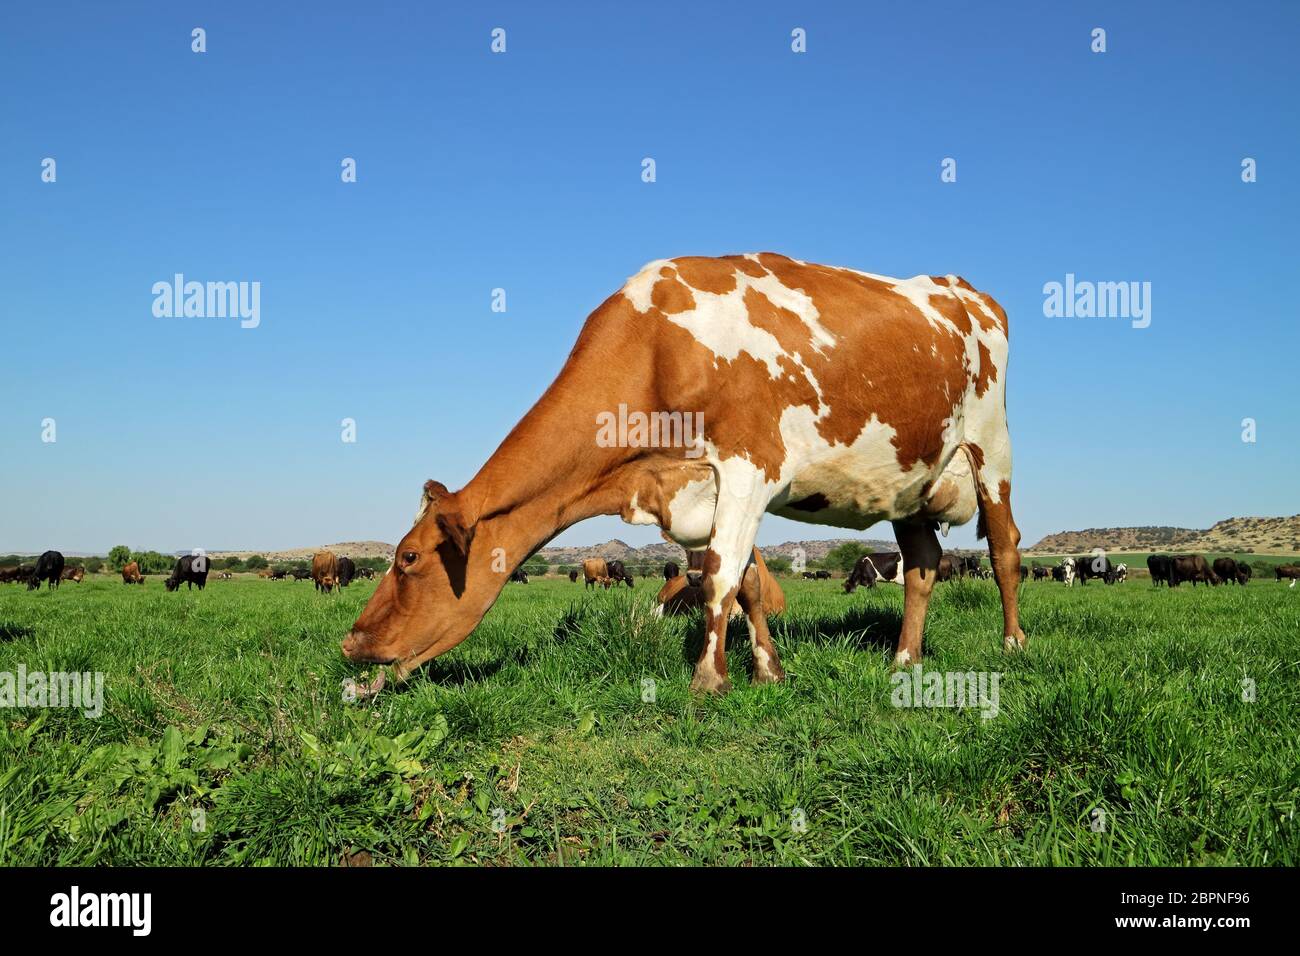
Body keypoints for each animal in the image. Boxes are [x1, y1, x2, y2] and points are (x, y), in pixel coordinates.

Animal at [342, 256, 1024, 696]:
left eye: (407, 558)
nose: (350, 644)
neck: (656, 348)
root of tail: (966, 290)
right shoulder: (697, 492)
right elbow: (742, 581)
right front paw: (767, 671)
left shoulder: (750, 466)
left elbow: (722, 575)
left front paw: (706, 680)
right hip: (911, 483)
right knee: (923, 564)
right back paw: (904, 659)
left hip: (990, 447)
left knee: (1005, 546)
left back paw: (1013, 643)